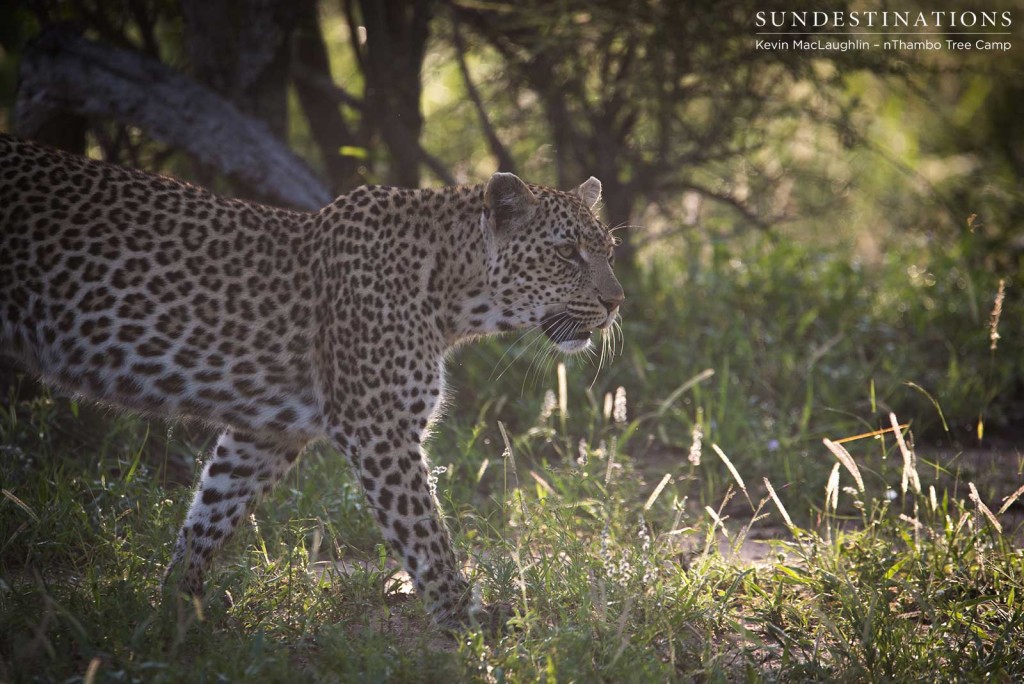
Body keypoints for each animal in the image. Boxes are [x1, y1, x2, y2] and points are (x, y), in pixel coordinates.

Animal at [0, 131, 622, 626]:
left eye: (609, 249)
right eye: (567, 253)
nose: (616, 302)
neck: (453, 293)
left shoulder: (266, 434)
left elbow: (210, 511)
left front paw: (177, 607)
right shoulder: (378, 428)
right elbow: (425, 533)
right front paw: (466, 618)